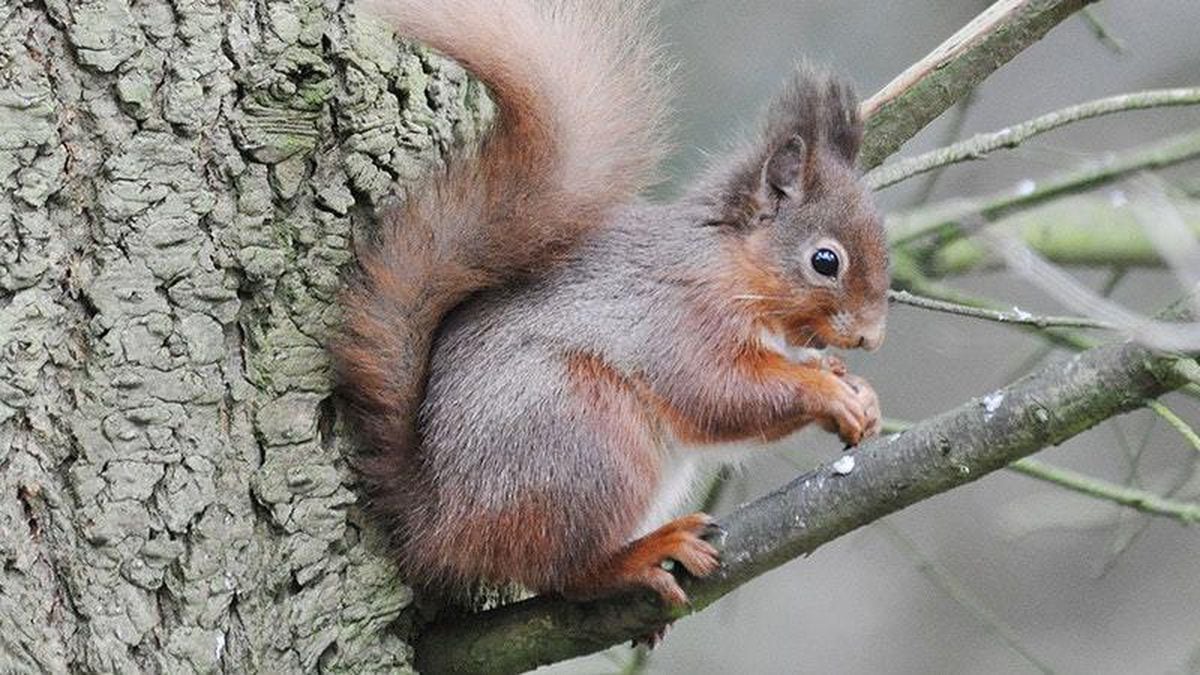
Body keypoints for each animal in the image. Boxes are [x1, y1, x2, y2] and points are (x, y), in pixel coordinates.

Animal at [331, 0, 892, 607]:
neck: (730, 265)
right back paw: (643, 555)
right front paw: (826, 391)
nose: (872, 337)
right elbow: (719, 394)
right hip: (588, 434)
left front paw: (855, 387)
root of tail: (438, 522)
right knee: (565, 574)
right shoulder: (682, 318)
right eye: (825, 261)